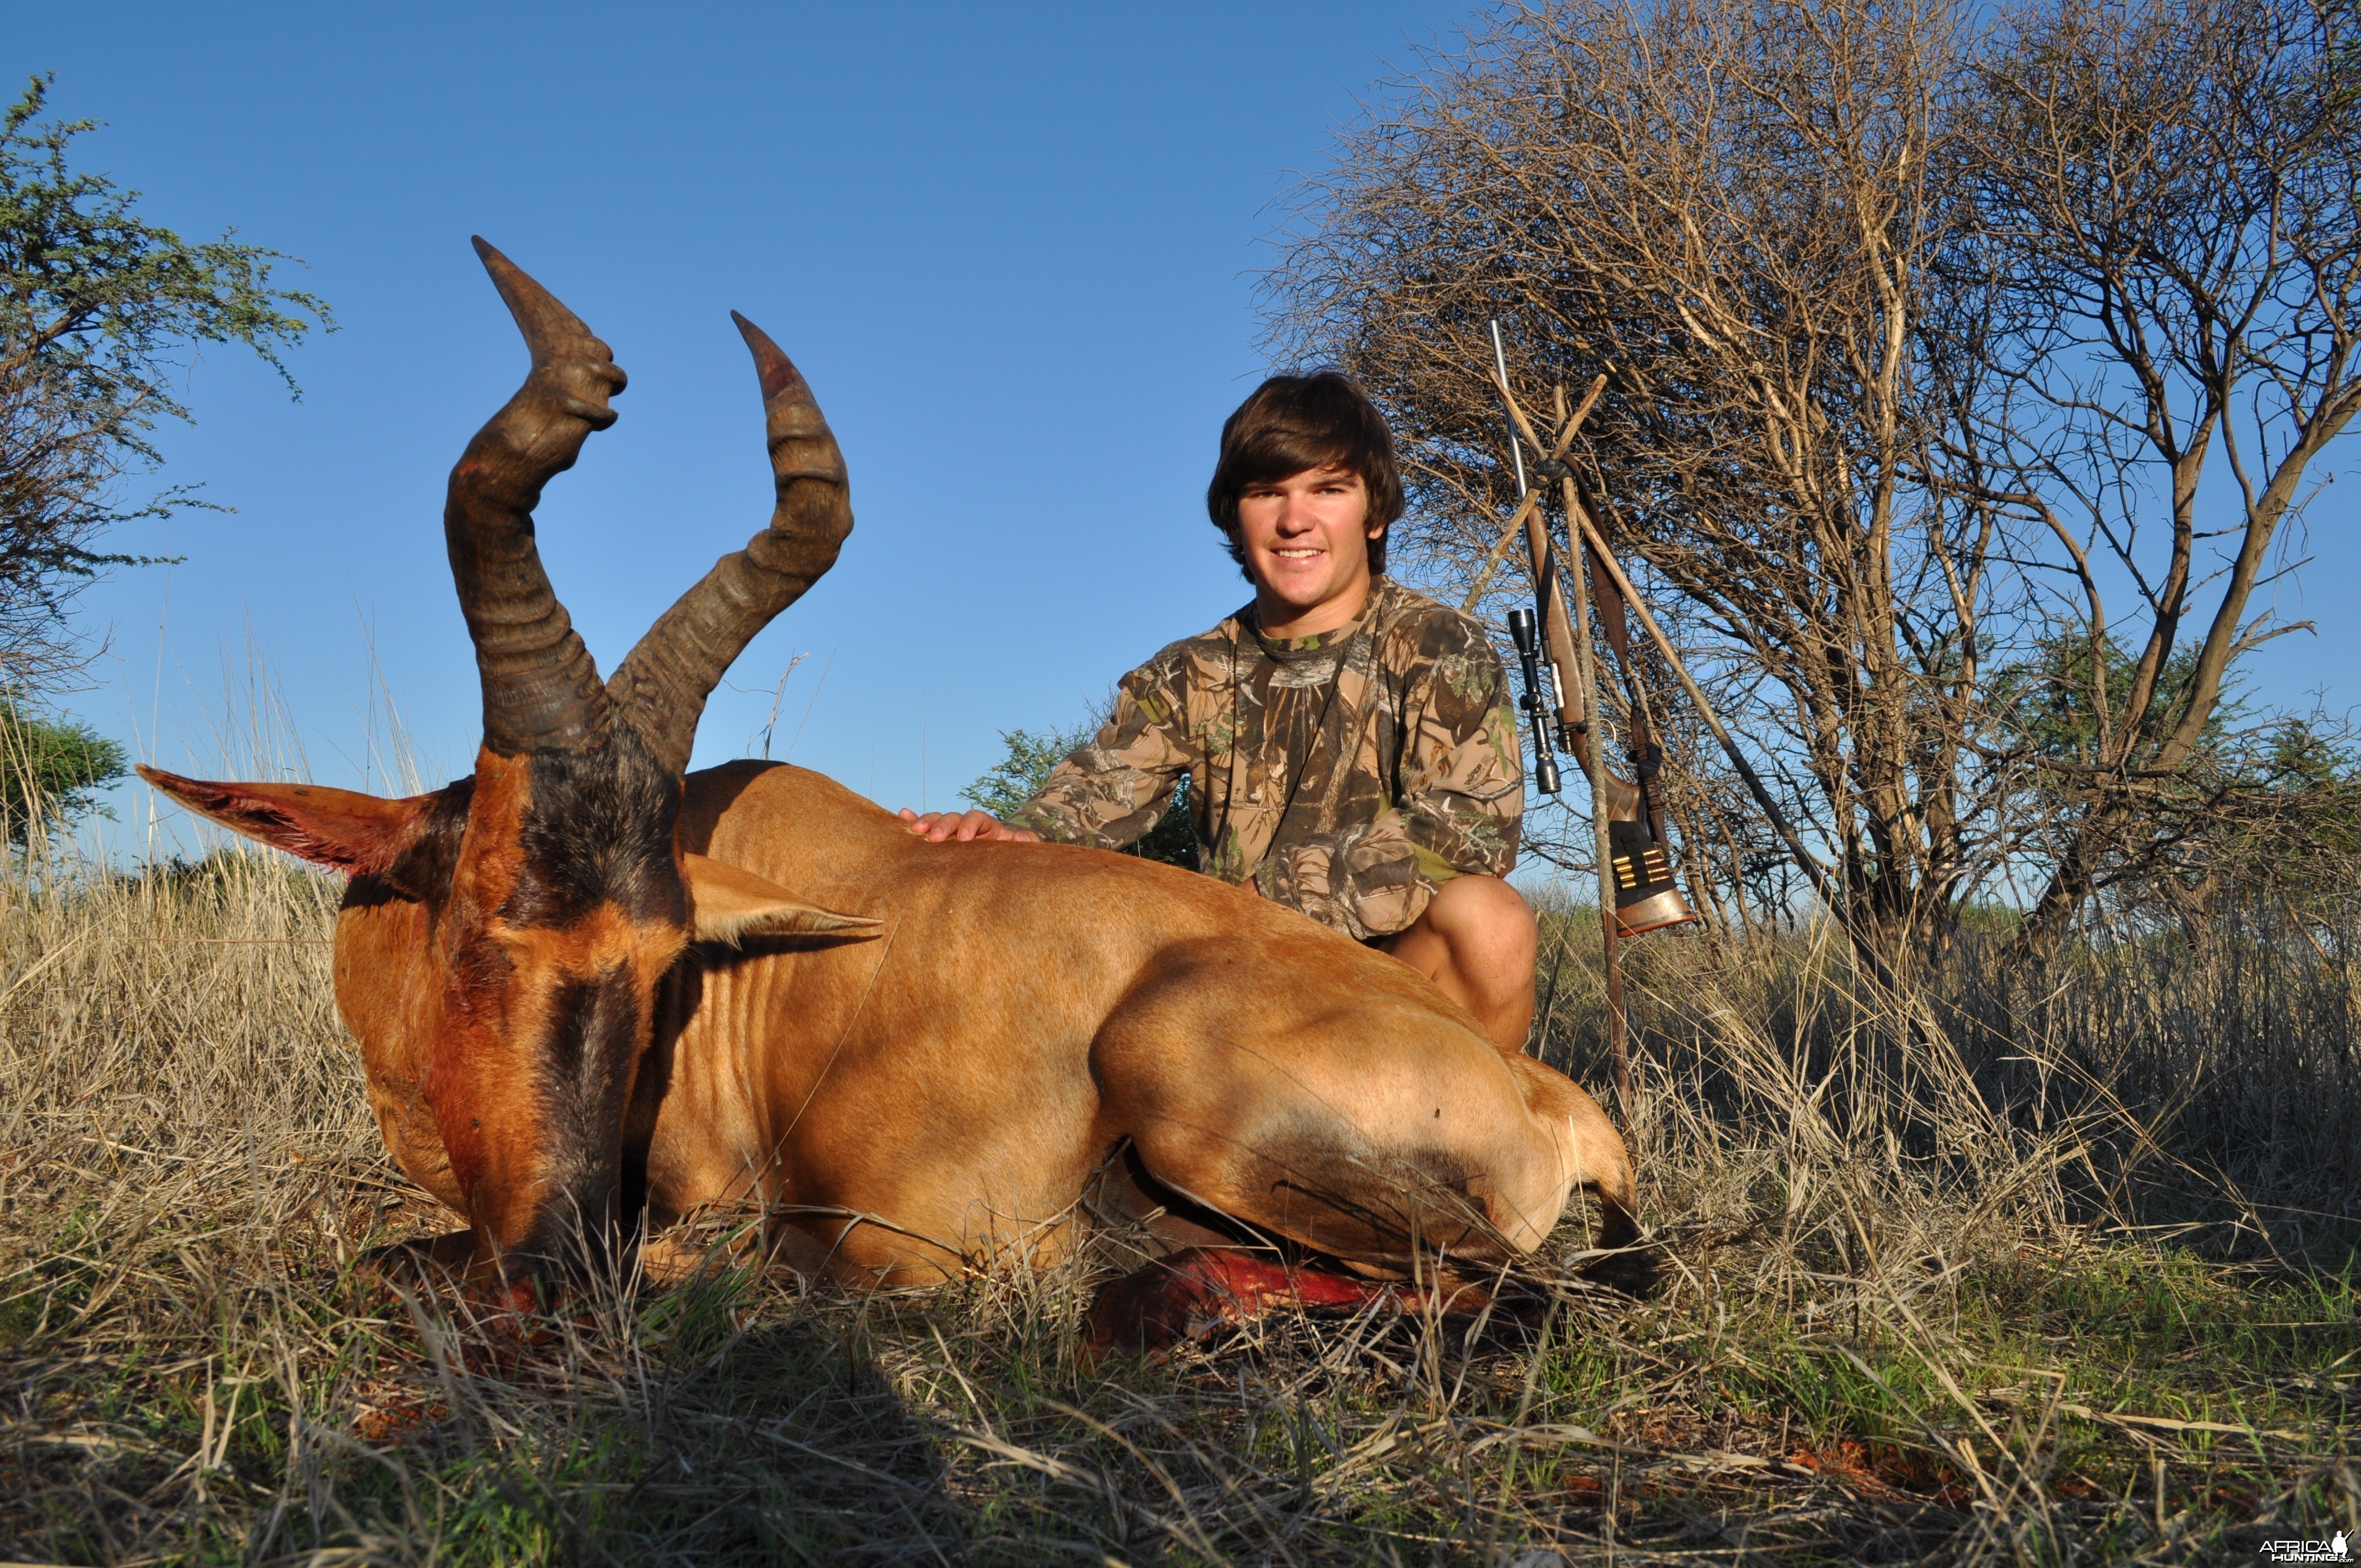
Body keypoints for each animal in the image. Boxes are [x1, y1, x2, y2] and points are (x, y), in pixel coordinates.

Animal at [134, 242, 1643, 1351]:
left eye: (665, 960)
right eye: (479, 926)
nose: (555, 1284)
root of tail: (1551, 1095)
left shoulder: (703, 1205)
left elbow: (419, 1254)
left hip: (1184, 1086)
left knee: (1518, 1299)